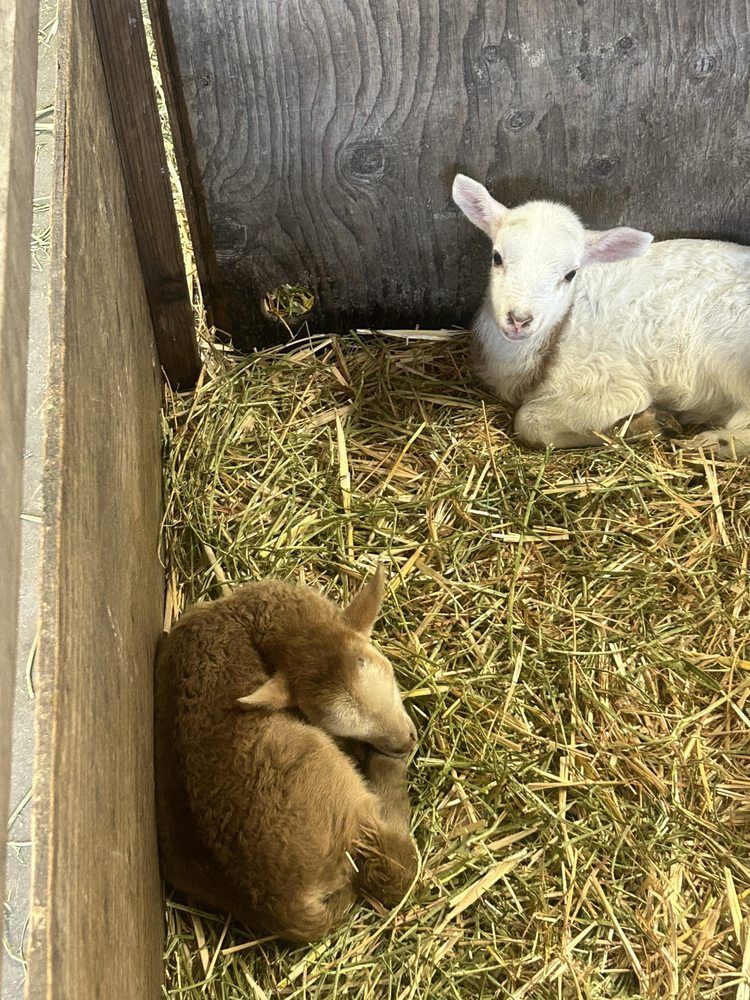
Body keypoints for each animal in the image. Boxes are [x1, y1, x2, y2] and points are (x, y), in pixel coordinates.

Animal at [154, 567, 418, 942]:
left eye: (389, 675)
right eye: (338, 727)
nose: (405, 742)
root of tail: (285, 907)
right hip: (334, 791)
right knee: (395, 866)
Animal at [452, 173, 750, 455]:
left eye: (570, 274)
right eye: (497, 258)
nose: (519, 320)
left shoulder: (611, 381)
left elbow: (529, 421)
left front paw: (646, 424)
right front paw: (653, 423)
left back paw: (714, 442)